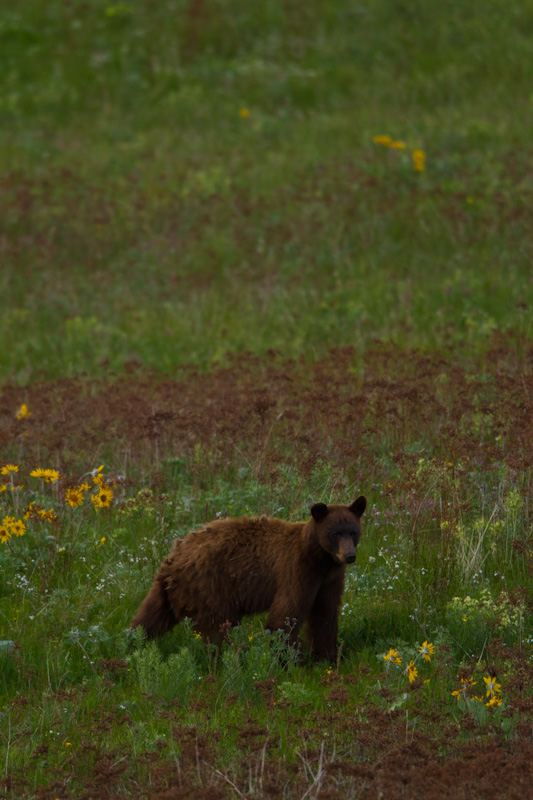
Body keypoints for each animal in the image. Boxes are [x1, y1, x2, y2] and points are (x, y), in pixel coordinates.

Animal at [130, 496, 366, 660]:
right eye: (336, 533)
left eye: (353, 531)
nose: (350, 556)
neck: (319, 559)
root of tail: (174, 558)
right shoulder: (296, 572)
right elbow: (285, 615)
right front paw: (291, 659)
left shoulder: (329, 579)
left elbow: (325, 614)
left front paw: (327, 656)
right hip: (210, 587)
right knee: (219, 628)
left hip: (168, 591)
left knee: (148, 619)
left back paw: (132, 643)